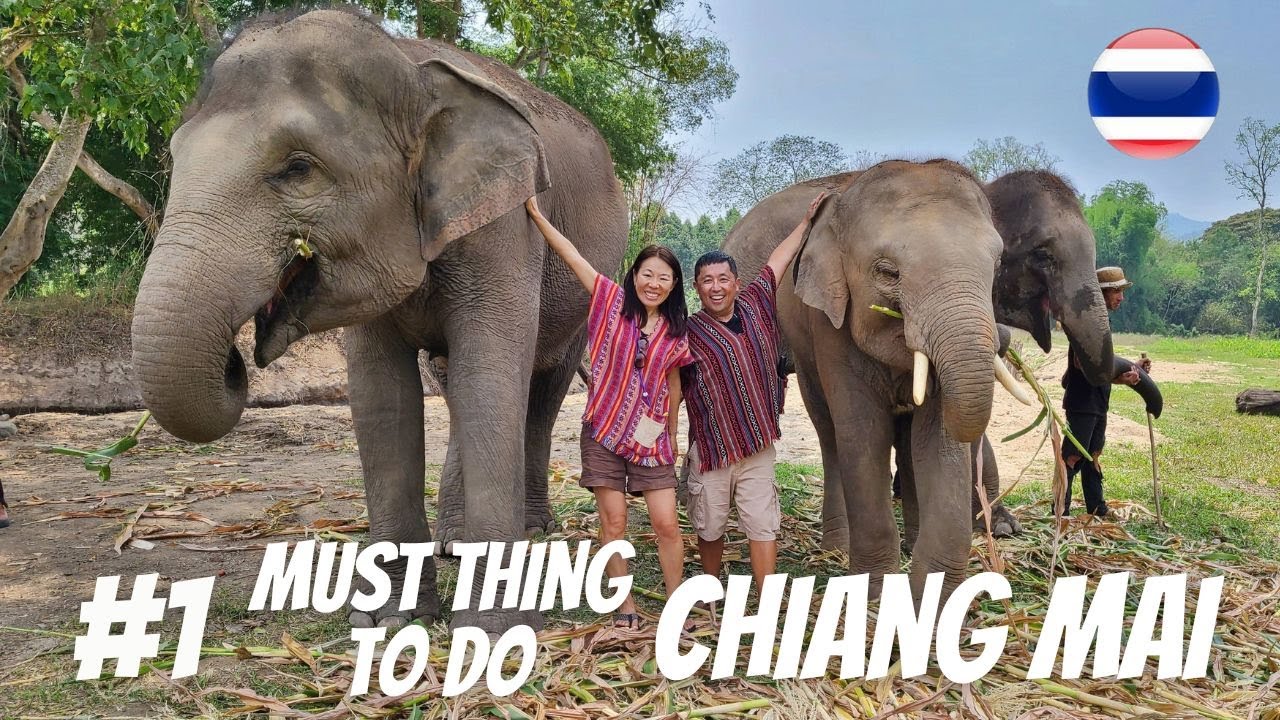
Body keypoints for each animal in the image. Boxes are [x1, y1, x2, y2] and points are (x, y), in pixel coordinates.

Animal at [130, 8, 626, 632]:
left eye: (298, 168)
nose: (235, 361)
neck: (410, 68)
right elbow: (382, 397)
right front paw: (392, 621)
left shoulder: (506, 226)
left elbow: (489, 379)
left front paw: (490, 631)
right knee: (455, 382)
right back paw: (454, 543)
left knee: (538, 392)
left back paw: (534, 530)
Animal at [723, 159, 1004, 599]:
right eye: (888, 272)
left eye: (997, 265)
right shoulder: (828, 324)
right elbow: (863, 430)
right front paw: (876, 590)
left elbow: (937, 439)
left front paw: (935, 599)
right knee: (830, 433)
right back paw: (837, 547)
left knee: (905, 442)